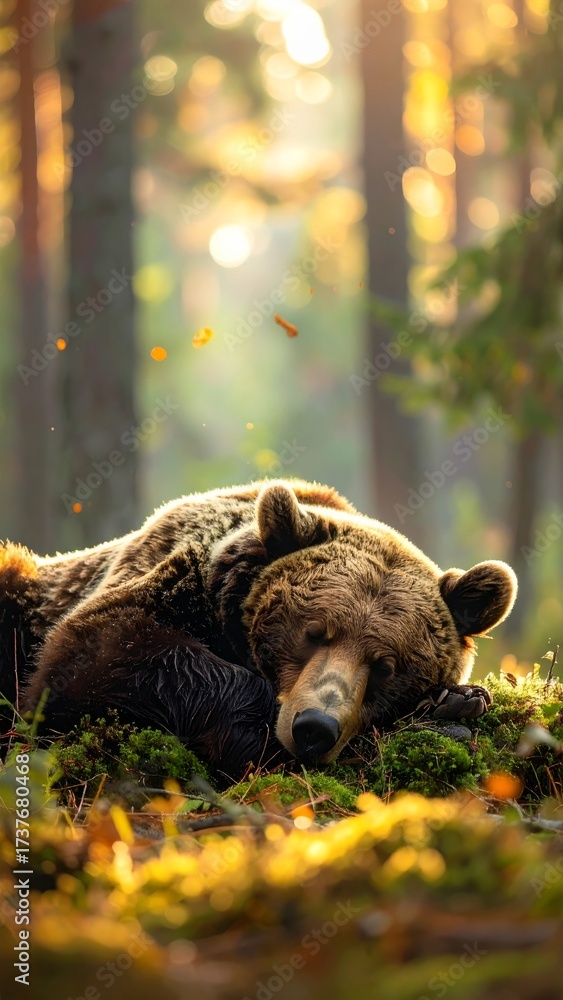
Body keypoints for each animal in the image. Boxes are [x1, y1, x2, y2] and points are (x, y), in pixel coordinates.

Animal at [0, 479, 517, 779]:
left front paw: (456, 702)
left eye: (386, 665)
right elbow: (93, 654)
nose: (315, 727)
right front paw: (258, 729)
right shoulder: (166, 578)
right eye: (315, 632)